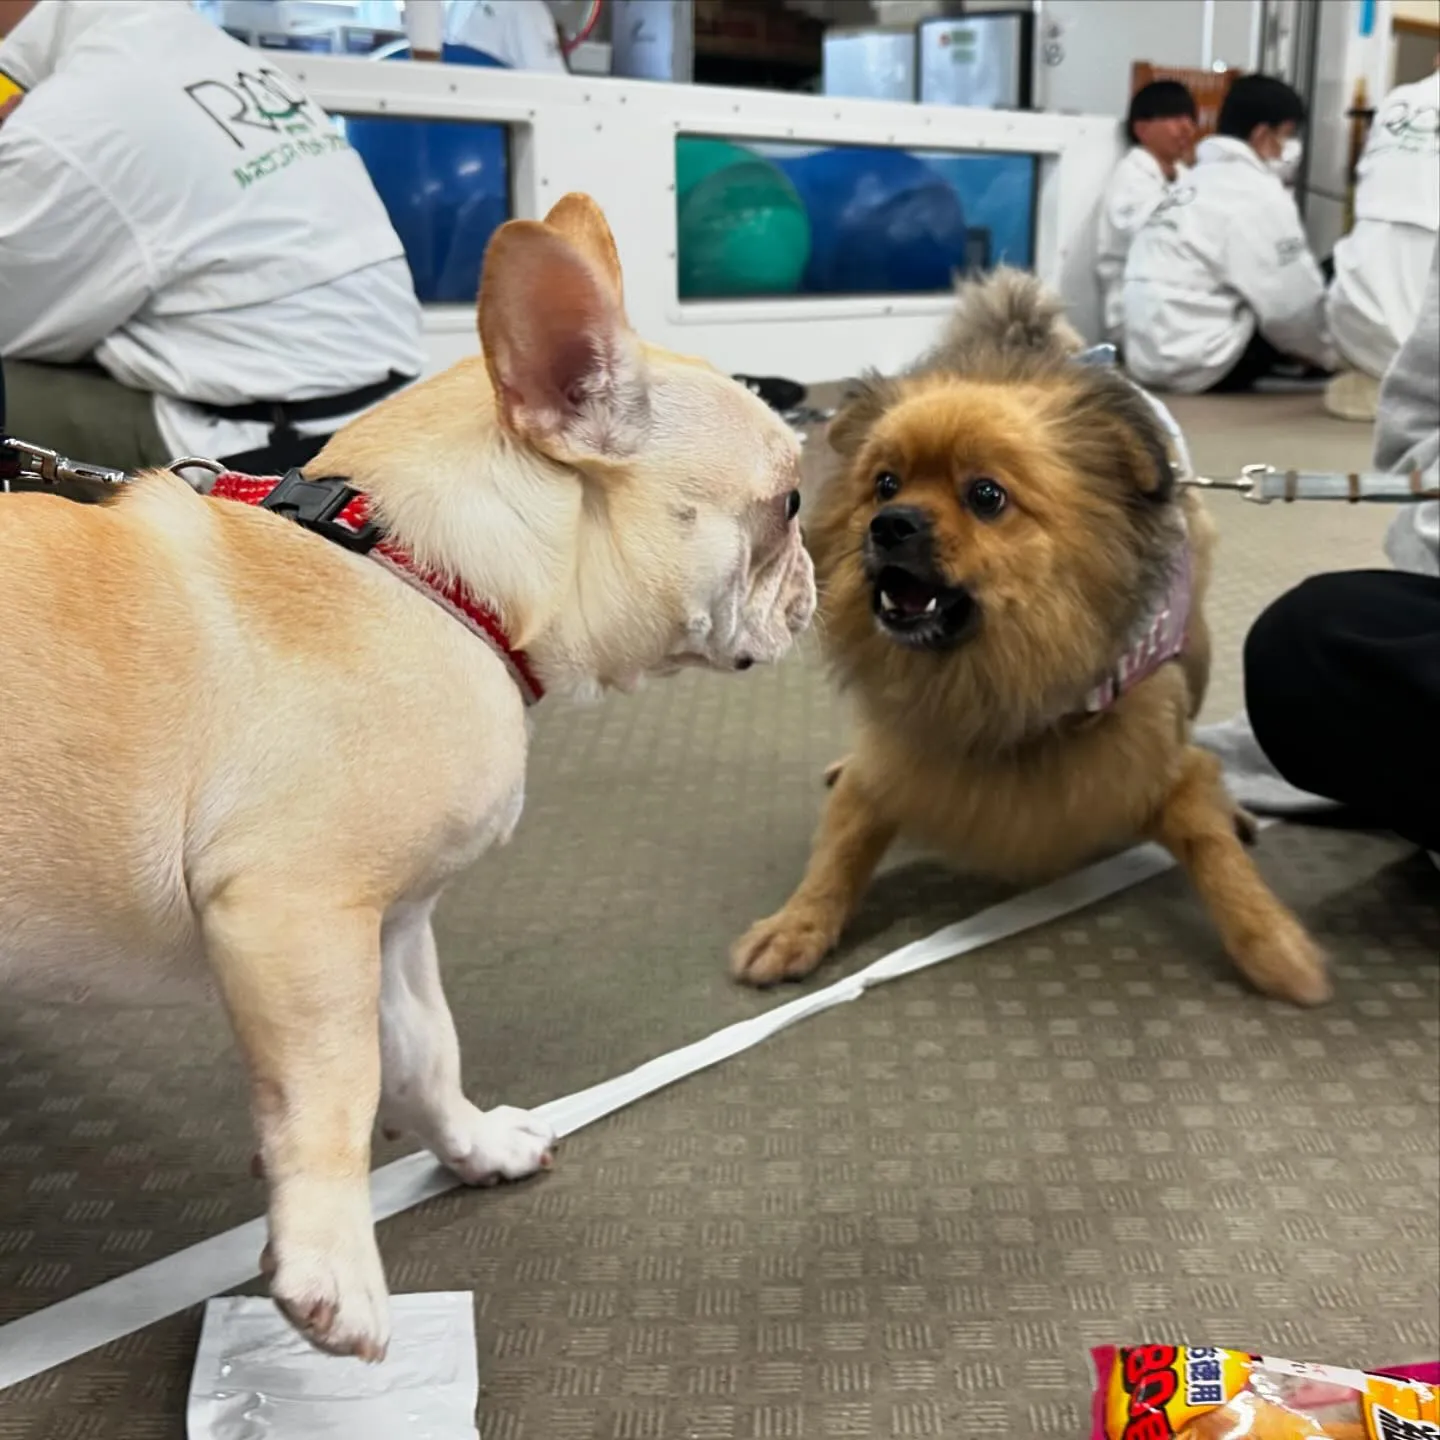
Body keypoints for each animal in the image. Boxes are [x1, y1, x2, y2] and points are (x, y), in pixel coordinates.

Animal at [737, 272, 1330, 1013]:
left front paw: (1273, 943)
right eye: (884, 483)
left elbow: (1212, 847)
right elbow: (840, 846)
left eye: (987, 496)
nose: (889, 524)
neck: (991, 678)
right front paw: (796, 925)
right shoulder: (897, 758)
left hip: (1196, 647)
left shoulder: (1156, 763)